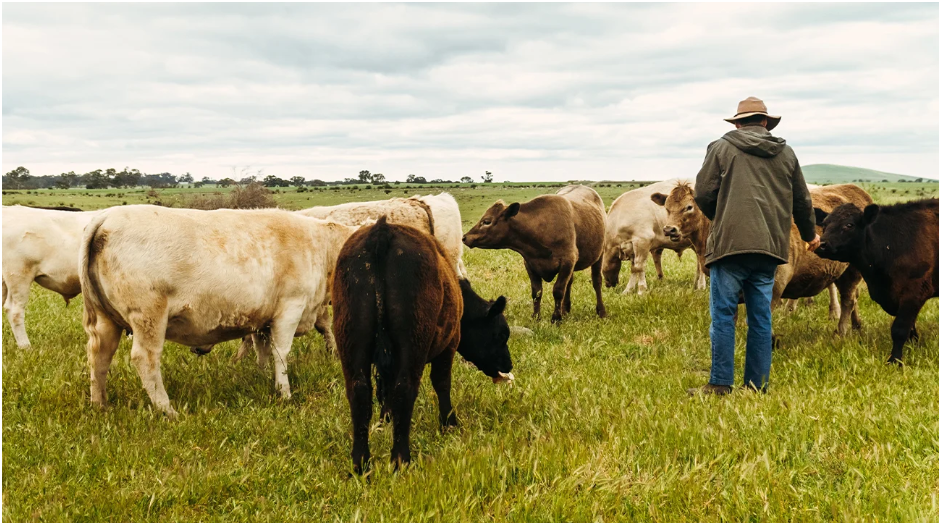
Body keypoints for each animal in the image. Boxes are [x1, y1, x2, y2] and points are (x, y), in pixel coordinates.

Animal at [81, 203, 364, 416]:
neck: (322, 248)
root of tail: (107, 216)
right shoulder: (290, 308)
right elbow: (281, 353)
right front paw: (284, 393)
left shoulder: (263, 320)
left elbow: (263, 350)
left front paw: (262, 378)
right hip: (149, 315)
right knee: (145, 359)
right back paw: (167, 409)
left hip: (106, 319)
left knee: (99, 356)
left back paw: (100, 405)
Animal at [330, 217, 512, 474]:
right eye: (501, 334)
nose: (509, 364)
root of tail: (382, 231)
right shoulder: (449, 344)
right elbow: (442, 383)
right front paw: (449, 423)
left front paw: (385, 418)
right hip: (413, 339)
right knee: (404, 389)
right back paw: (400, 459)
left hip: (351, 336)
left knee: (359, 391)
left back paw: (361, 464)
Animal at [652, 182, 872, 334]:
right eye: (667, 207)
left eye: (689, 207)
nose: (669, 229)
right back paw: (856, 325)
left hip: (853, 271)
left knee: (848, 299)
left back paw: (841, 331)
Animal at [816, 199, 940, 362]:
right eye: (824, 225)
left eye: (849, 225)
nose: (821, 245)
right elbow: (910, 327)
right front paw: (914, 346)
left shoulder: (914, 291)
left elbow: (900, 328)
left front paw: (895, 360)